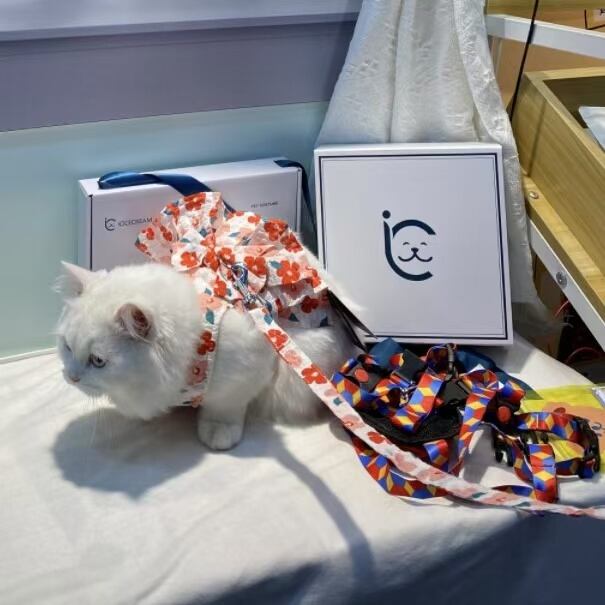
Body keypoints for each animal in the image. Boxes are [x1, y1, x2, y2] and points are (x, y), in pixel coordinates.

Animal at [56, 260, 357, 450]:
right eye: (67, 346)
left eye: (98, 361)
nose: (71, 377)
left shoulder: (248, 365)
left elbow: (224, 406)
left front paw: (218, 432)